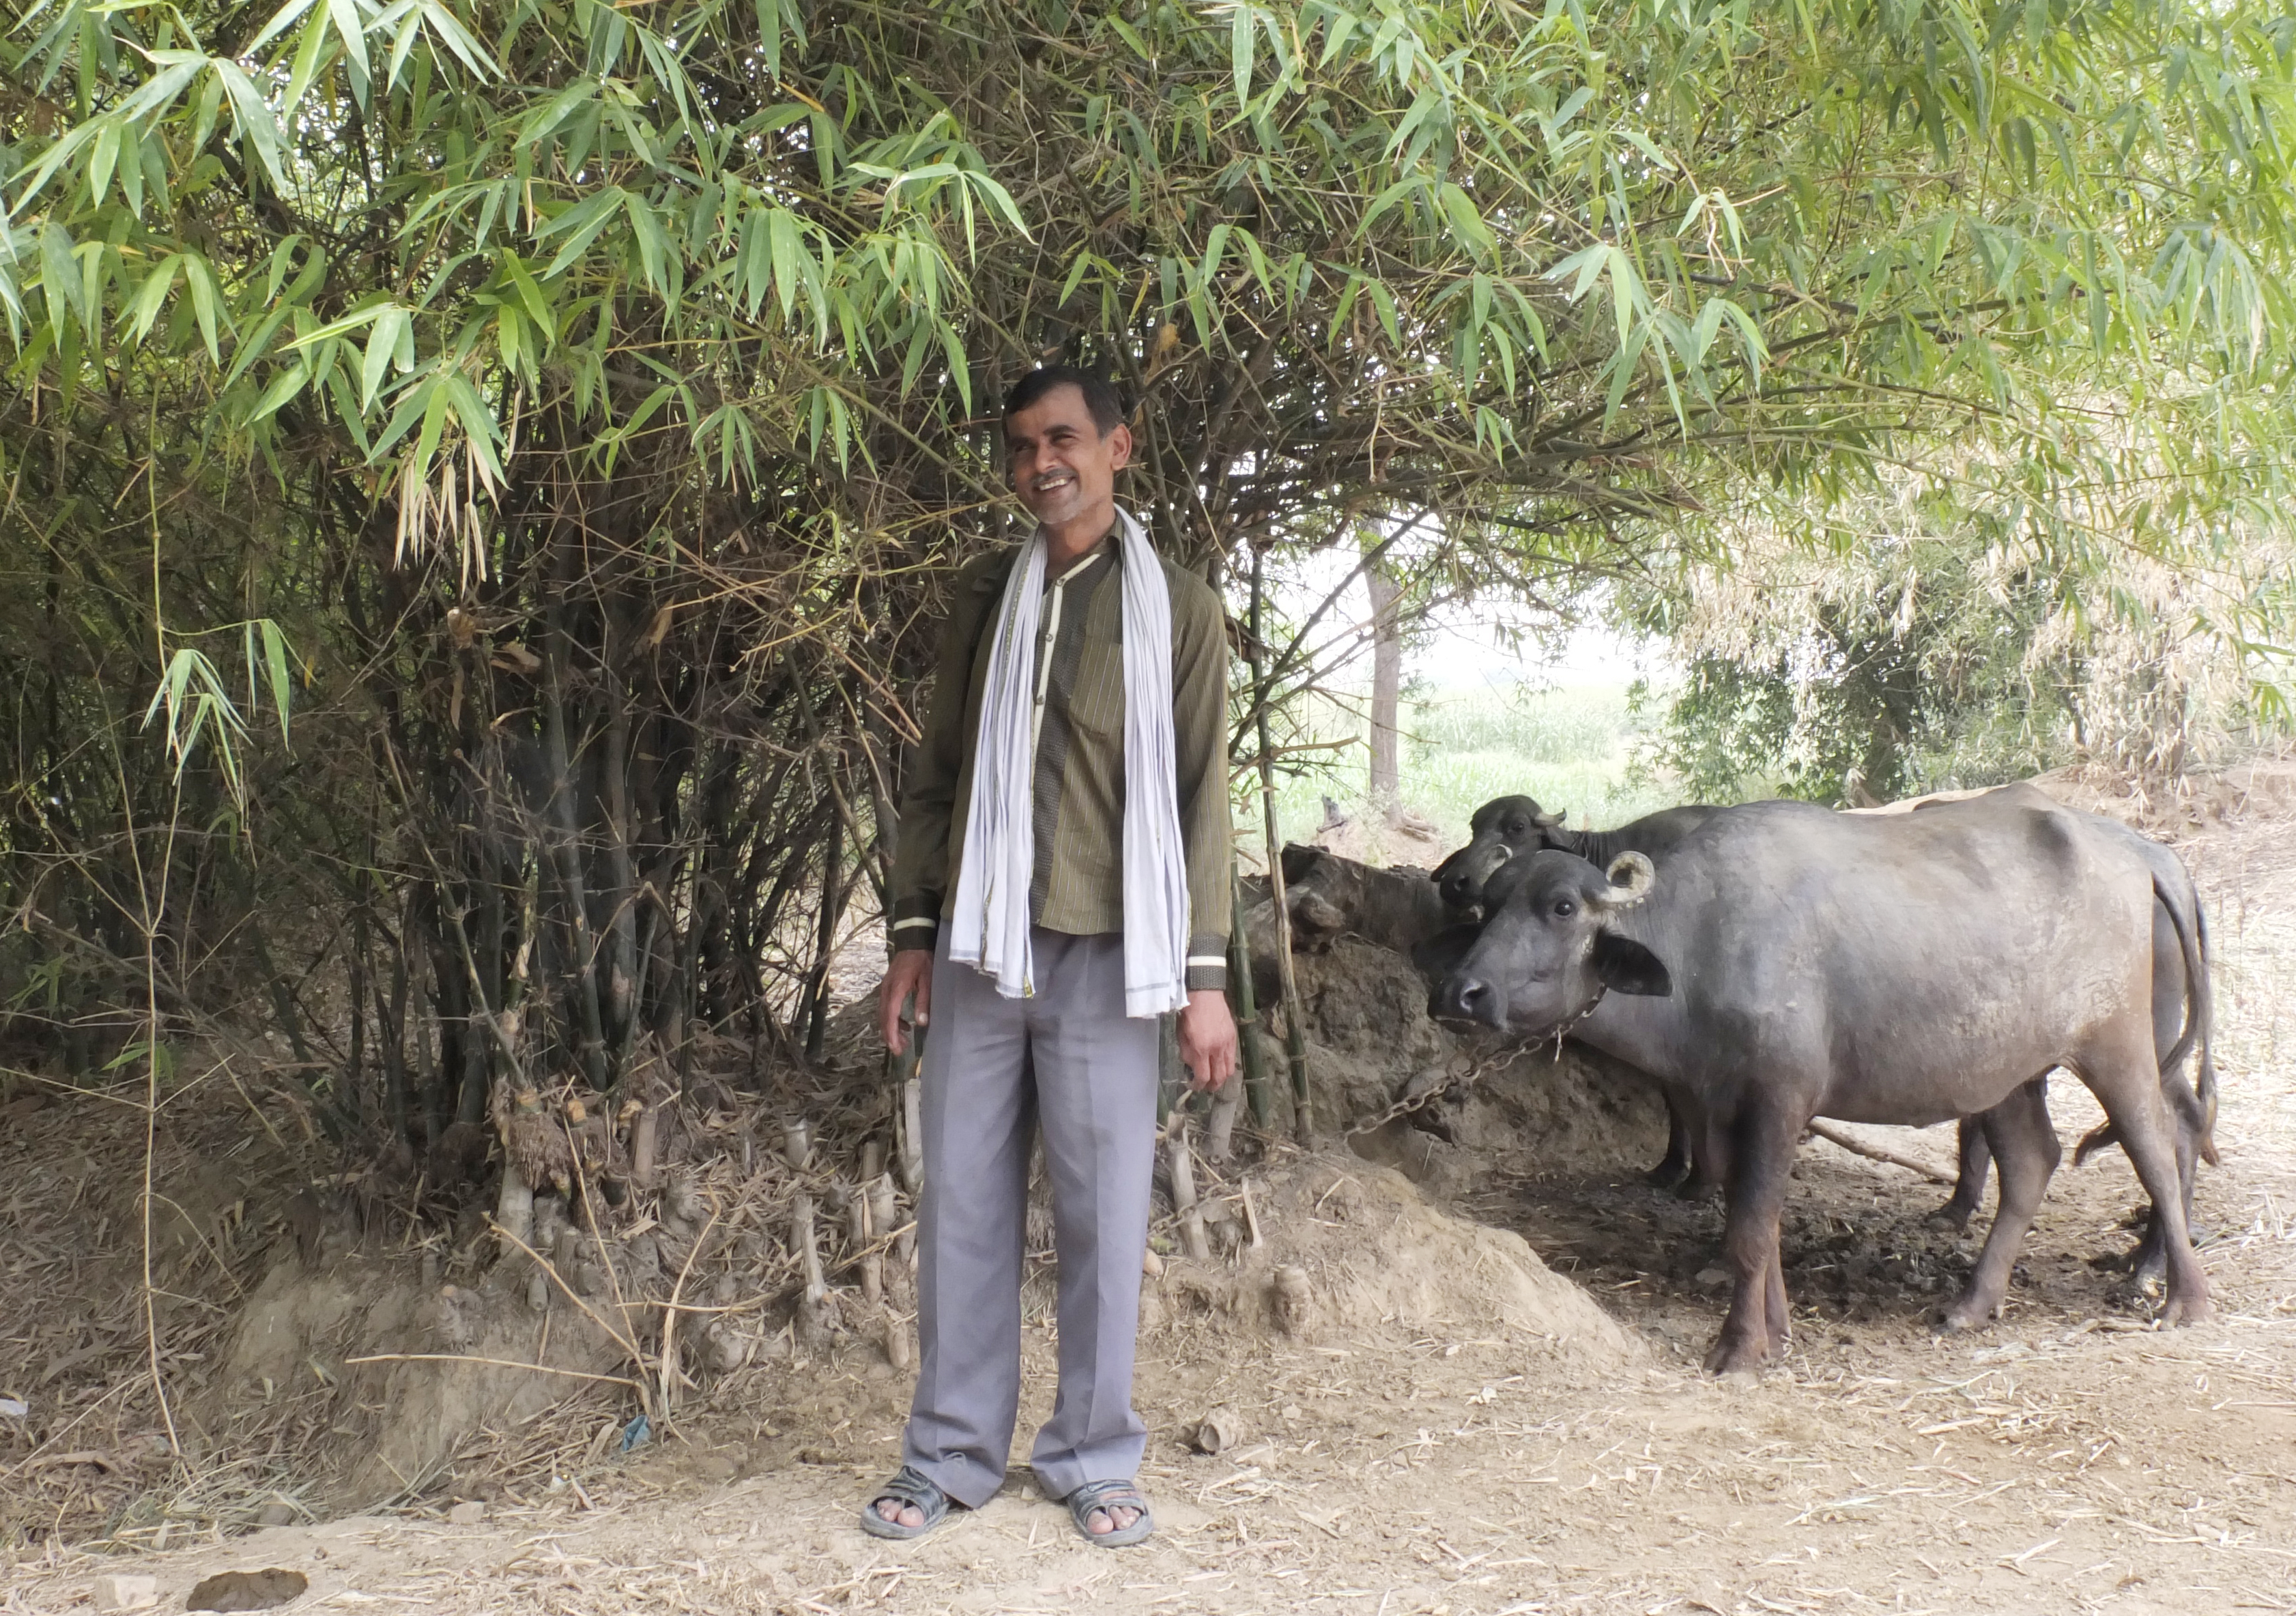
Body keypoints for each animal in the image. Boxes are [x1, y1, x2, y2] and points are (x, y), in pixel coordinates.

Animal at [1433, 790, 2204, 1368]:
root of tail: (2140, 856)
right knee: (2031, 1163)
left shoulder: (1780, 1098)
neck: (1702, 942)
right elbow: (1753, 1220)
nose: (1458, 994)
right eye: (1492, 904)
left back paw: (2179, 1295)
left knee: (2157, 1146)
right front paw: (1775, 1328)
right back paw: (1972, 1304)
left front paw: (1740, 1348)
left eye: (1562, 908)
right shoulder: (1723, 1103)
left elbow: (1750, 1227)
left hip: (2118, 1043)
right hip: (2007, 1073)